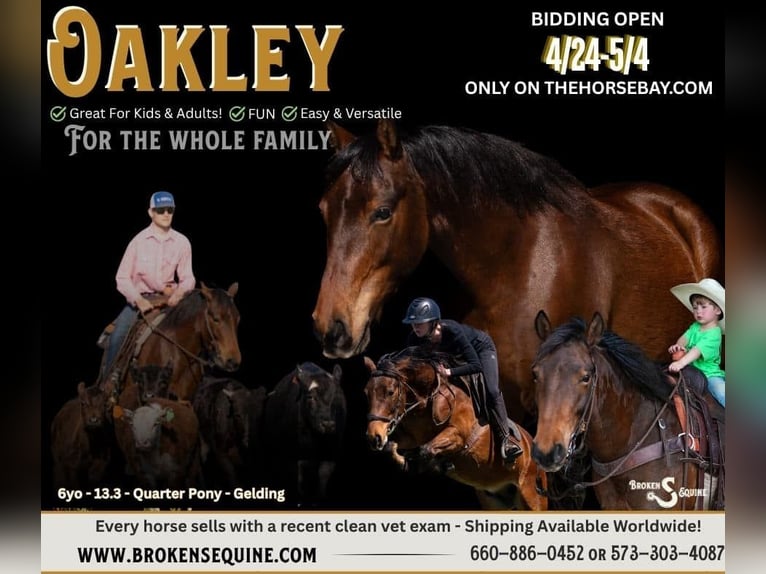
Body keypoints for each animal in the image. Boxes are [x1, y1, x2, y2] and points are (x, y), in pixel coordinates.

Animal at [363, 347, 547, 510]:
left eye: (390, 392)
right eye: (366, 393)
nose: (374, 436)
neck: (427, 400)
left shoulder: (457, 435)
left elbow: (426, 449)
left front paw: (428, 465)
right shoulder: (412, 438)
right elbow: (392, 448)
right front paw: (403, 459)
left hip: (531, 496)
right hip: (494, 500)